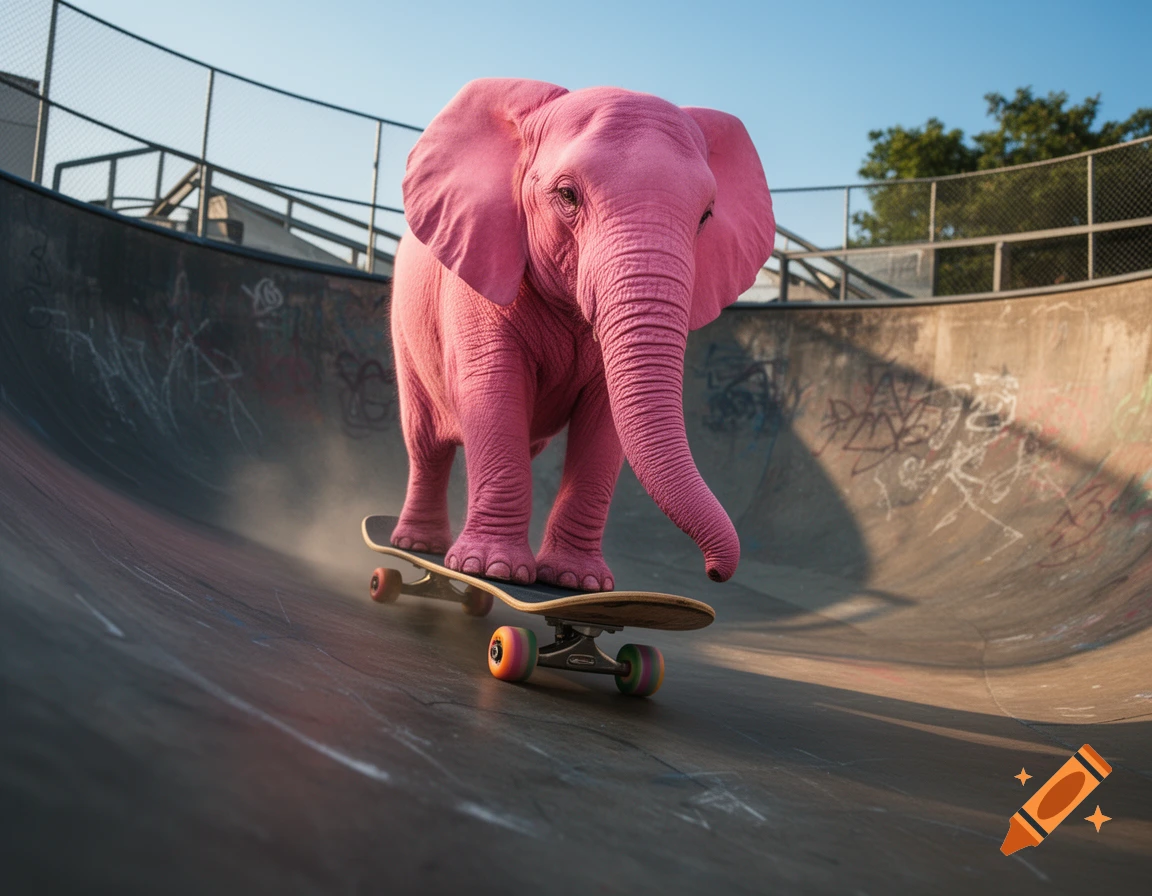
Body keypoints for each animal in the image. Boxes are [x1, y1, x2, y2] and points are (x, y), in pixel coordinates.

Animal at [389, 78, 774, 591]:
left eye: (706, 217)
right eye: (568, 196)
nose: (714, 573)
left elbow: (605, 421)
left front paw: (576, 584)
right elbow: (493, 387)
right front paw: (491, 570)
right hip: (403, 326)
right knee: (425, 441)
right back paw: (418, 547)